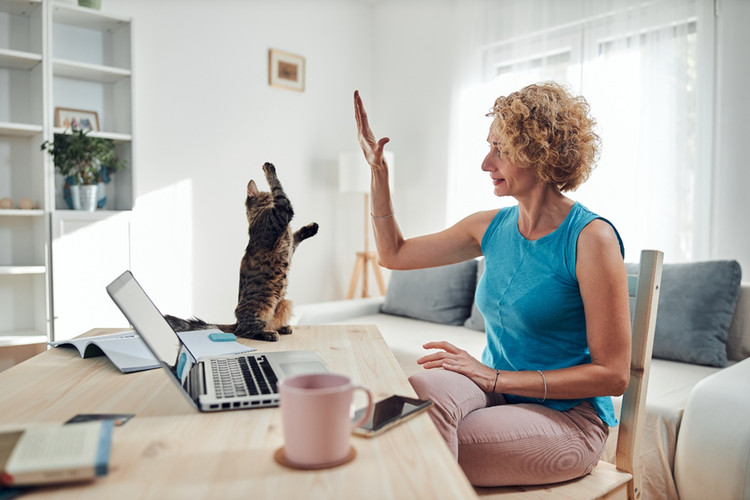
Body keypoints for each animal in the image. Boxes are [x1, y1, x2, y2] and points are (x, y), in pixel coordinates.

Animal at [166, 162, 318, 342]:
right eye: (267, 195)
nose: (269, 197)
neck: (258, 215)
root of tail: (236, 322)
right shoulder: (281, 212)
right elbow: (278, 188)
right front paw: (269, 168)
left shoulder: (289, 245)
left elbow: (297, 235)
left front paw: (312, 228)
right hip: (264, 304)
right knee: (244, 331)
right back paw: (268, 334)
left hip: (285, 302)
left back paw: (282, 328)